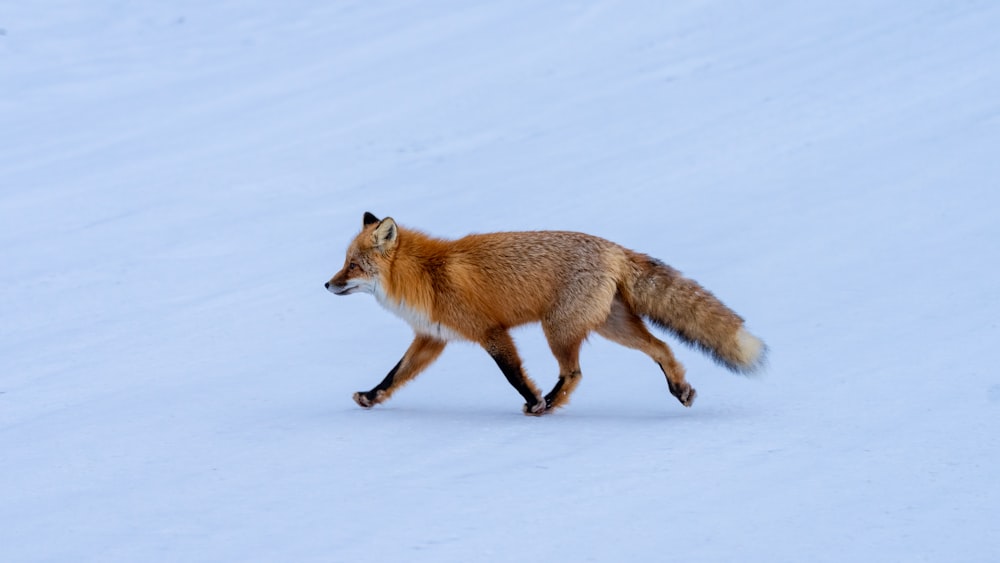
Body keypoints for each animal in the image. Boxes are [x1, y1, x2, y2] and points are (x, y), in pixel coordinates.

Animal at [328, 214, 764, 416]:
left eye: (353, 266)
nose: (327, 285)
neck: (426, 276)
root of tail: (613, 248)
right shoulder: (432, 338)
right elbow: (394, 375)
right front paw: (370, 397)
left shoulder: (490, 331)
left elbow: (513, 374)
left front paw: (535, 400)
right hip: (611, 326)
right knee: (661, 348)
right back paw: (680, 389)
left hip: (557, 329)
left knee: (574, 373)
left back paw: (549, 405)